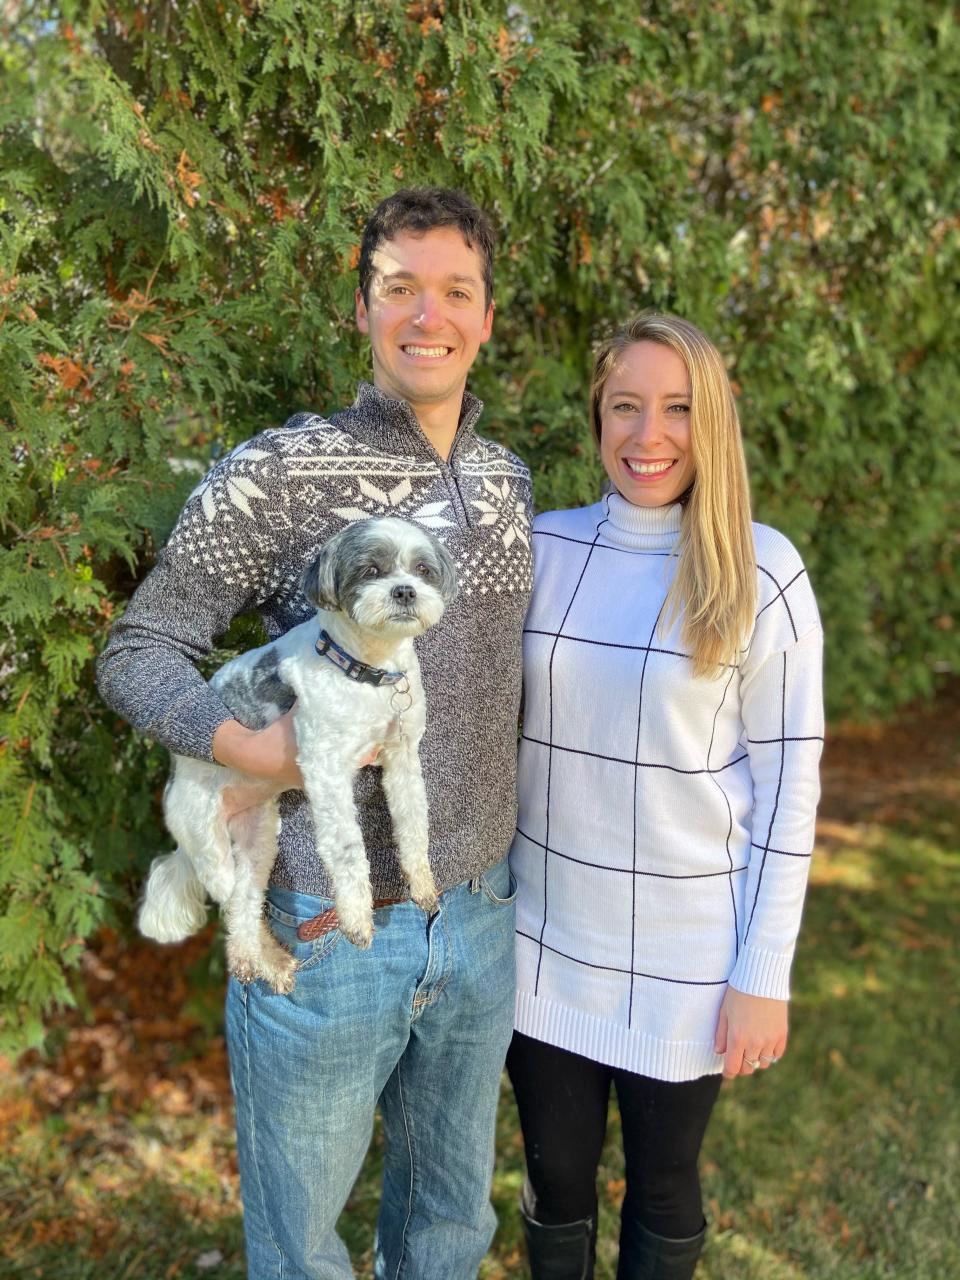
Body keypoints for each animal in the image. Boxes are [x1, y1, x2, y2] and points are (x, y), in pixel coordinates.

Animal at [136, 517, 463, 988]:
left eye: (422, 569)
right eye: (370, 570)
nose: (404, 591)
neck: (368, 671)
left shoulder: (402, 758)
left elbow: (414, 825)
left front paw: (421, 884)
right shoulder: (325, 769)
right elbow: (346, 848)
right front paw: (356, 917)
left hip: (259, 841)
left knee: (247, 902)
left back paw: (265, 961)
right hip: (207, 842)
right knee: (234, 905)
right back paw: (254, 961)